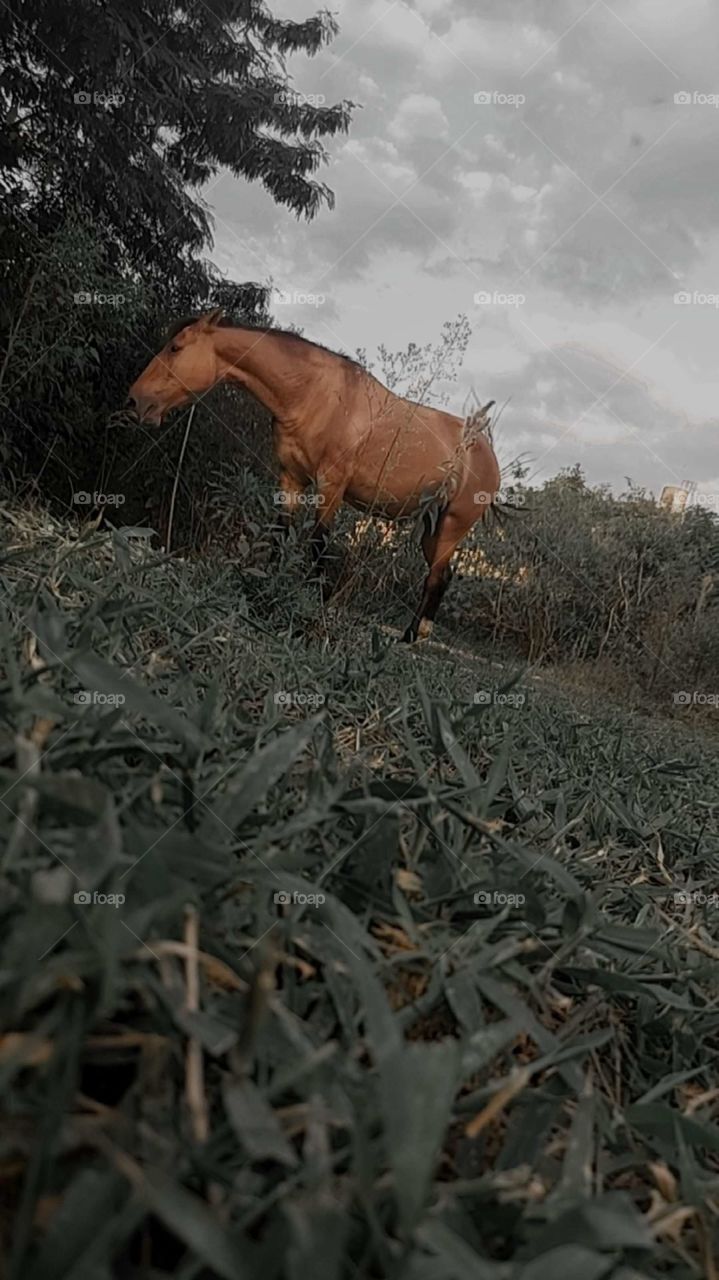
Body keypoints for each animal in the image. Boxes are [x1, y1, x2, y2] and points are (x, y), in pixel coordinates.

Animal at [125, 308, 500, 642]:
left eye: (176, 347)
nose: (134, 402)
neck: (314, 395)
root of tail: (485, 450)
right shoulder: (290, 480)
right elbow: (281, 535)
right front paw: (267, 587)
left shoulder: (330, 486)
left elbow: (318, 544)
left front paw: (314, 601)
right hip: (432, 528)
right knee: (443, 575)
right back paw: (417, 634)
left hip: (451, 527)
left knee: (436, 578)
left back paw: (411, 636)